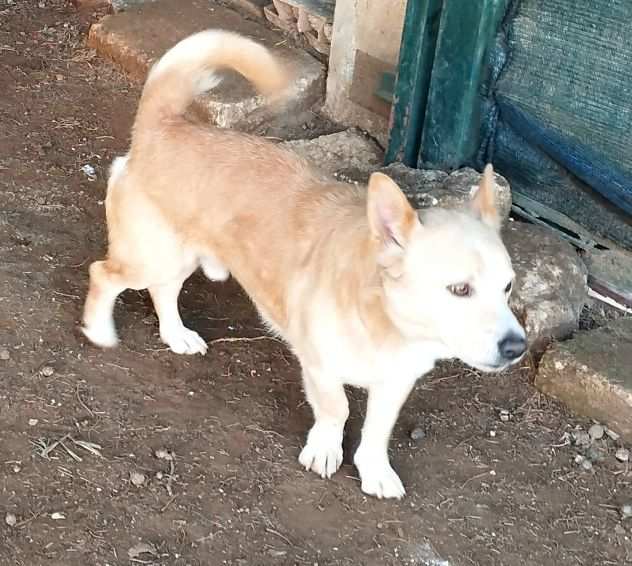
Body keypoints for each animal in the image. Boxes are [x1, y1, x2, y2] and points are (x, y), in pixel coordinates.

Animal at [84, 30, 528, 502]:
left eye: (508, 287)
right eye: (460, 289)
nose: (517, 347)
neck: (388, 325)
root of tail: (164, 125)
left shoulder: (396, 383)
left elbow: (378, 430)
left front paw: (374, 470)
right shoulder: (319, 367)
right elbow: (338, 408)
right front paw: (325, 450)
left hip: (177, 258)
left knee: (164, 291)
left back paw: (176, 335)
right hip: (151, 256)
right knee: (104, 274)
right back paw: (99, 329)